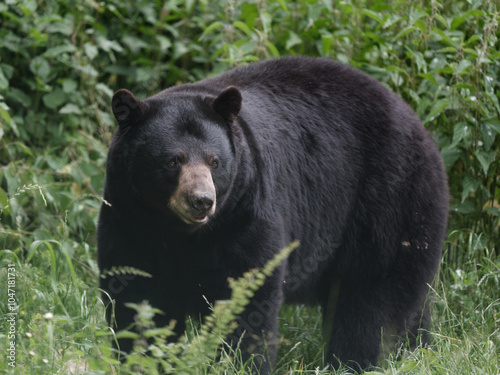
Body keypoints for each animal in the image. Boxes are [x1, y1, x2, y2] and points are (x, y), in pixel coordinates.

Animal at [97, 55, 450, 374]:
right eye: (173, 160)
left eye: (214, 161)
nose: (201, 201)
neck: (182, 233)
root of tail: (419, 125)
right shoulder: (129, 216)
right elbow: (137, 291)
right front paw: (142, 358)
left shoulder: (245, 213)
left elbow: (247, 295)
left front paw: (238, 363)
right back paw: (418, 350)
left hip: (387, 201)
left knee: (373, 296)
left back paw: (357, 361)